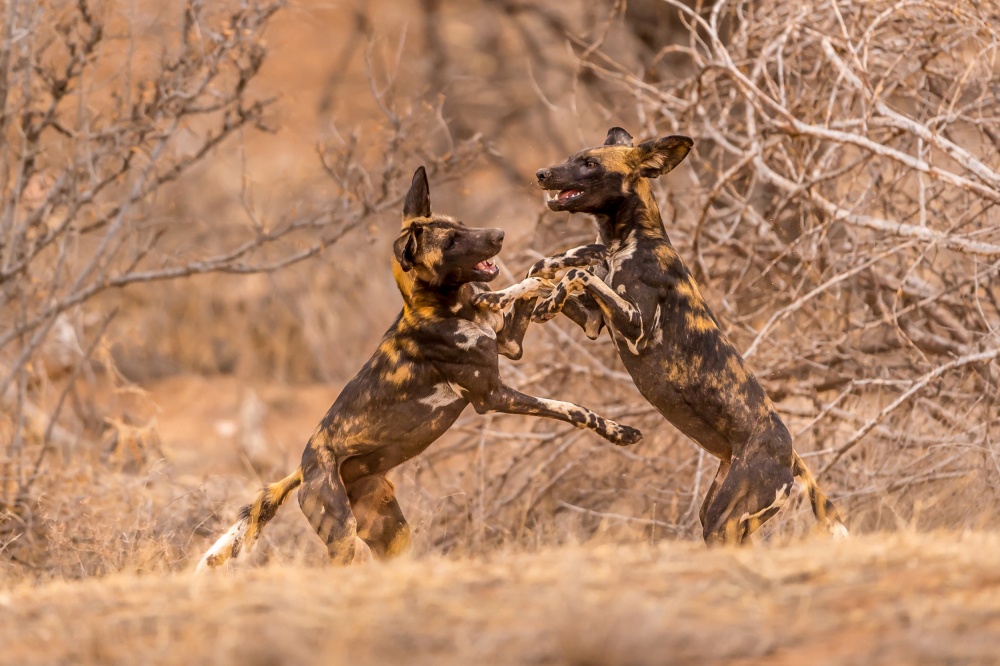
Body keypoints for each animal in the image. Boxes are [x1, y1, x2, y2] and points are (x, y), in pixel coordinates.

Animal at [194, 166, 640, 572]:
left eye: (461, 224)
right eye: (453, 240)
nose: (499, 234)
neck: (450, 307)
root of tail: (303, 471)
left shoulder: (510, 345)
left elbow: (534, 274)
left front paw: (575, 263)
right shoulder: (493, 396)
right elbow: (570, 407)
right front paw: (619, 432)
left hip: (393, 535)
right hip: (342, 535)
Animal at [484, 130, 844, 544]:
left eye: (590, 164)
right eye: (573, 157)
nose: (542, 174)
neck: (623, 244)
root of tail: (792, 455)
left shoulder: (636, 328)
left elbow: (576, 275)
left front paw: (543, 298)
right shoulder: (594, 321)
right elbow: (549, 274)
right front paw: (504, 297)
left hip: (725, 521)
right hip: (716, 514)